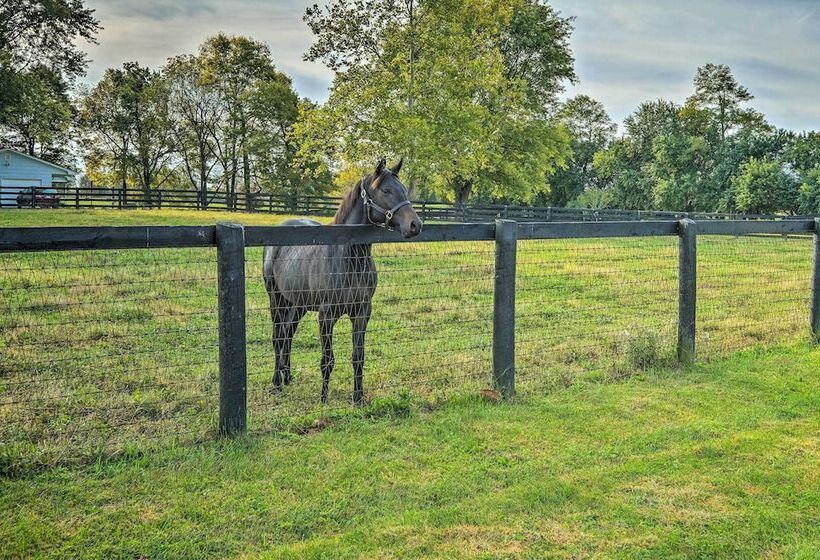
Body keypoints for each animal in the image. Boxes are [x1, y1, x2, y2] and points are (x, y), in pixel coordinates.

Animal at [263, 158, 422, 405]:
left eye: (404, 189)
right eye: (386, 191)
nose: (415, 225)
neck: (347, 256)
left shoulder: (362, 312)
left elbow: (358, 356)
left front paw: (358, 398)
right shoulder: (326, 315)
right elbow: (327, 359)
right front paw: (323, 399)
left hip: (298, 304)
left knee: (288, 335)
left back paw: (287, 377)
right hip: (277, 301)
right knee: (278, 337)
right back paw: (277, 383)